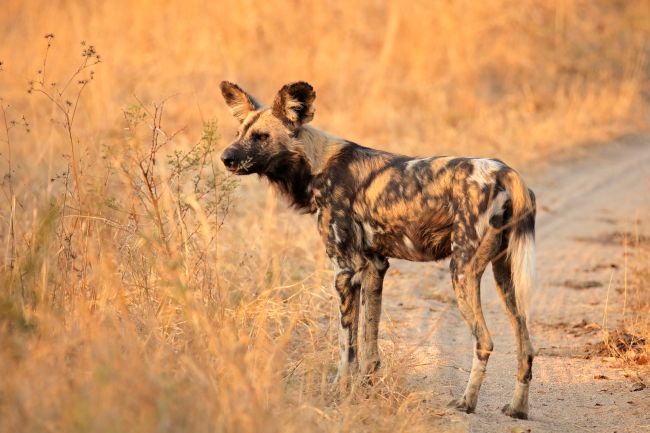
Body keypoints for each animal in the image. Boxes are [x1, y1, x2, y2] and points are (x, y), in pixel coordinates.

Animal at [220, 81, 536, 418]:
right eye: (238, 132)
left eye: (261, 137)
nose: (225, 157)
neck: (315, 165)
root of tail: (505, 172)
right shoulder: (374, 266)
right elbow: (369, 342)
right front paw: (366, 388)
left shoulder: (345, 271)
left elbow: (347, 345)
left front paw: (340, 390)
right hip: (505, 277)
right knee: (526, 344)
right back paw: (517, 409)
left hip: (462, 272)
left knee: (485, 341)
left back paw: (466, 403)